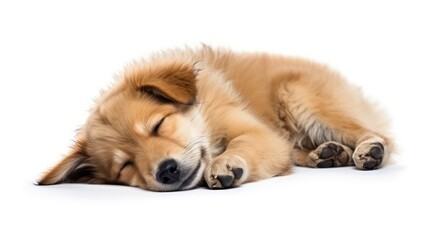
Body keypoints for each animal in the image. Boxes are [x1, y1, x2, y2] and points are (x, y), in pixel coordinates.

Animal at [36, 47, 392, 191]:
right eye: (125, 166)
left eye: (158, 126)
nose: (166, 171)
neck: (204, 117)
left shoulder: (259, 134)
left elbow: (244, 144)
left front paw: (225, 163)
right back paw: (328, 154)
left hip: (300, 96)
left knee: (377, 134)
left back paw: (369, 150)